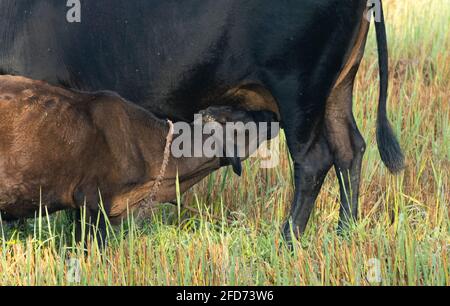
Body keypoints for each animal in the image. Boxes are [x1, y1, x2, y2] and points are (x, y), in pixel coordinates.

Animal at [0, 0, 402, 240]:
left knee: (314, 160)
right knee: (349, 149)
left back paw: (288, 239)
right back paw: (345, 231)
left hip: (298, 90)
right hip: (336, 87)